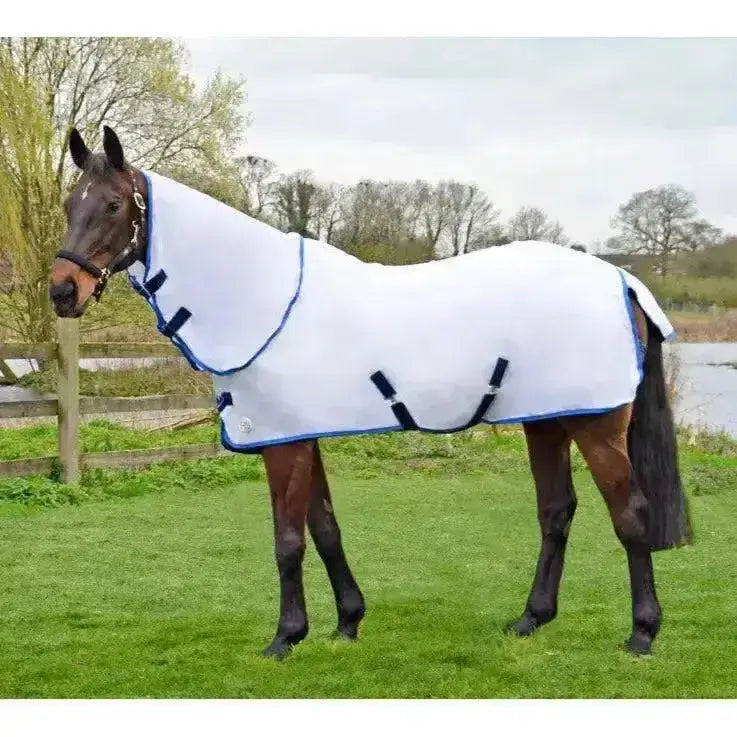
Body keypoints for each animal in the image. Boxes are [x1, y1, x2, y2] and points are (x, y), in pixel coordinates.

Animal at [49, 126, 691, 660]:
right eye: (68, 205)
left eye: (112, 205)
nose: (62, 291)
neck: (264, 298)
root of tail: (623, 279)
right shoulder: (304, 435)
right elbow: (325, 529)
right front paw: (346, 623)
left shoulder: (283, 444)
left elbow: (288, 540)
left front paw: (285, 638)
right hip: (549, 419)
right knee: (556, 512)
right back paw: (532, 619)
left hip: (598, 425)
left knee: (630, 515)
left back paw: (642, 632)